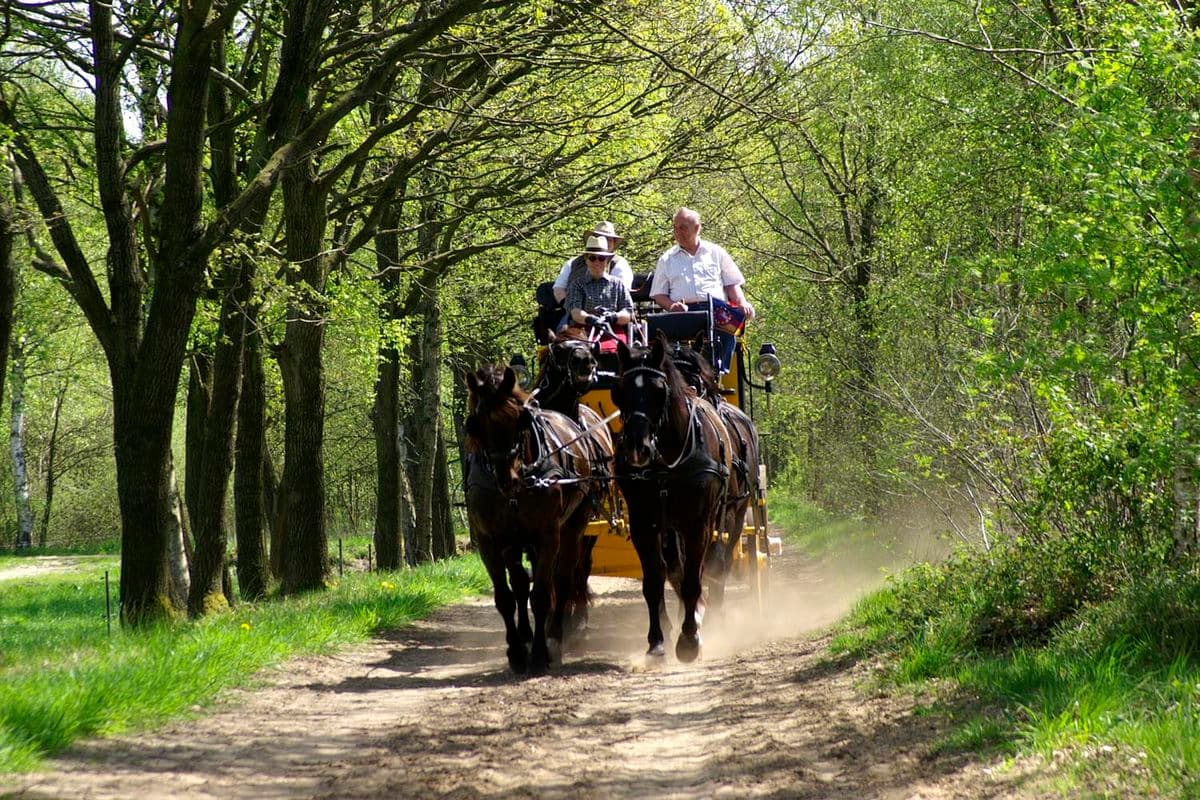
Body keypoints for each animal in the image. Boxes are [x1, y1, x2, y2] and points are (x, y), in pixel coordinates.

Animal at [465, 367, 600, 671]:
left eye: (521, 420)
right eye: (475, 424)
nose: (507, 479)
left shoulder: (547, 535)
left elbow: (541, 594)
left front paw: (541, 653)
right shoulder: (489, 541)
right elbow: (506, 597)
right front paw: (517, 651)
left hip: (574, 527)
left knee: (563, 580)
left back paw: (557, 636)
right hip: (515, 541)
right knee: (519, 585)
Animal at [614, 333, 734, 662]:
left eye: (658, 390)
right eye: (619, 391)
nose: (637, 448)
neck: (667, 461)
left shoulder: (698, 525)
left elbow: (693, 580)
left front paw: (690, 641)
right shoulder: (644, 525)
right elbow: (654, 583)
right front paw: (656, 643)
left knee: (704, 569)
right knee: (674, 568)